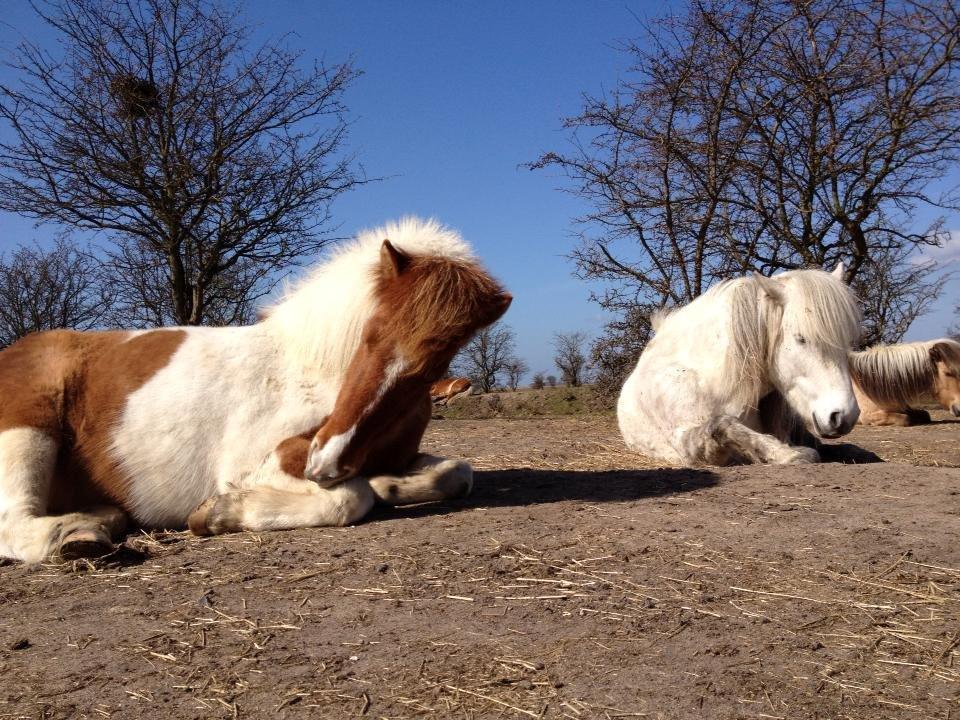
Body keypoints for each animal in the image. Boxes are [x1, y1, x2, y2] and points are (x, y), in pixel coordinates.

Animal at [0, 217, 512, 564]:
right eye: (371, 335)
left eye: (433, 367)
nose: (325, 464)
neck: (312, 366)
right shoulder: (260, 464)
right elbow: (350, 498)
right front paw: (220, 512)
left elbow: (456, 473)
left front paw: (388, 483)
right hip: (26, 430)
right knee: (13, 522)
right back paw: (78, 538)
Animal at [620, 266, 860, 466]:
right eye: (801, 338)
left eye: (846, 341)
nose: (844, 416)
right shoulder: (685, 443)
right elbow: (724, 425)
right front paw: (788, 454)